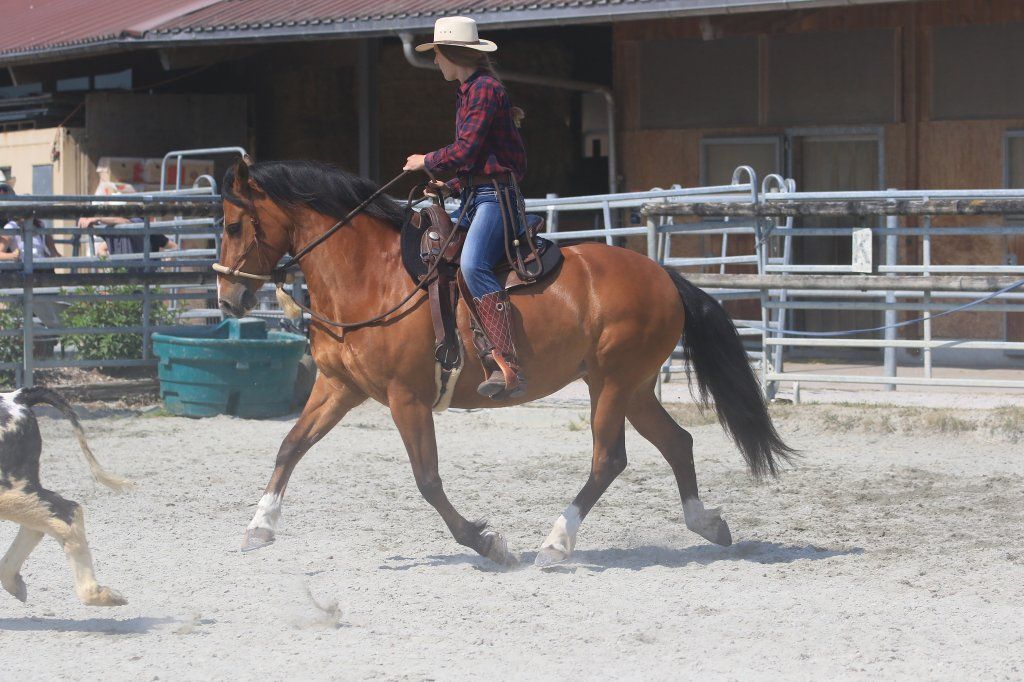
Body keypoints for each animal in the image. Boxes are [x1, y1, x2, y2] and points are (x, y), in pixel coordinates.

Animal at [215, 158, 793, 567]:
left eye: (233, 224)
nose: (227, 298)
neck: (370, 277)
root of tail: (663, 276)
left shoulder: (408, 399)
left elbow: (427, 479)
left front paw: (487, 542)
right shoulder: (338, 387)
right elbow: (290, 446)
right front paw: (260, 526)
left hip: (612, 385)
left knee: (608, 460)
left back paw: (556, 543)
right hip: (633, 388)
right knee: (678, 443)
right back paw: (707, 524)